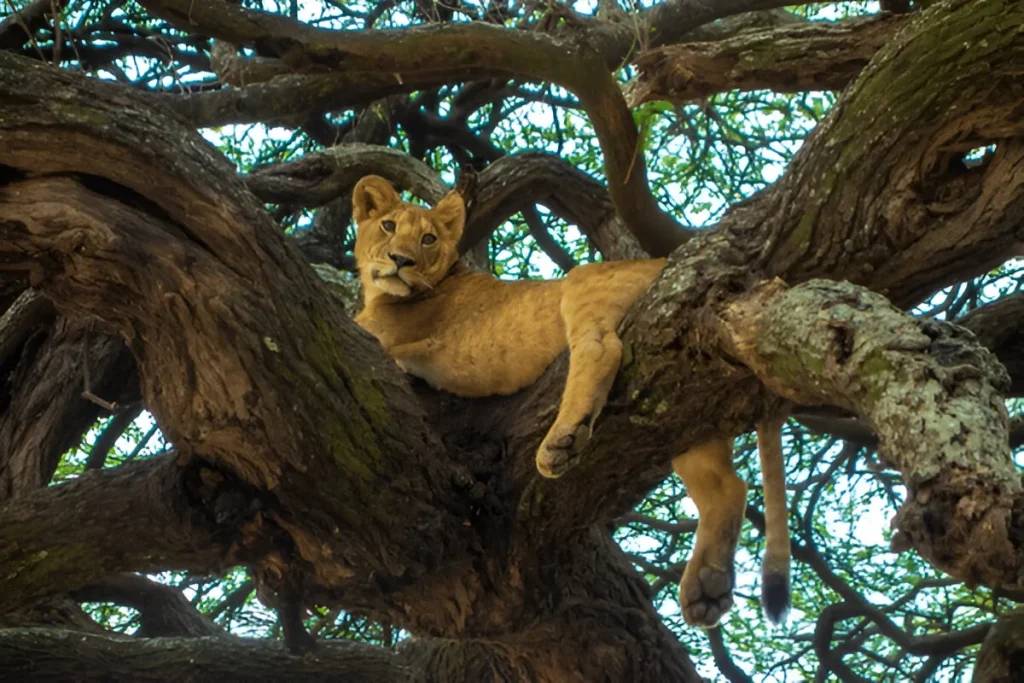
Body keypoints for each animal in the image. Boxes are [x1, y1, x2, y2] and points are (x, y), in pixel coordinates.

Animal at [351, 175, 790, 628]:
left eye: (429, 238)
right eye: (387, 226)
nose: (401, 260)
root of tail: (665, 263)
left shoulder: (377, 334)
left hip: (584, 281)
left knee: (600, 347)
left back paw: (561, 441)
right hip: (686, 412)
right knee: (727, 486)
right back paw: (708, 588)